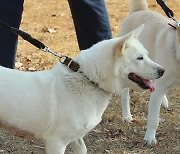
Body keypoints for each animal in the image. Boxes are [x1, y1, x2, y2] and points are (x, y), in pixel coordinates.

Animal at [0, 24, 165, 153]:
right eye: (139, 58)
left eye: (146, 55)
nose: (163, 70)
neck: (89, 80)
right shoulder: (56, 143)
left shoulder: (77, 139)